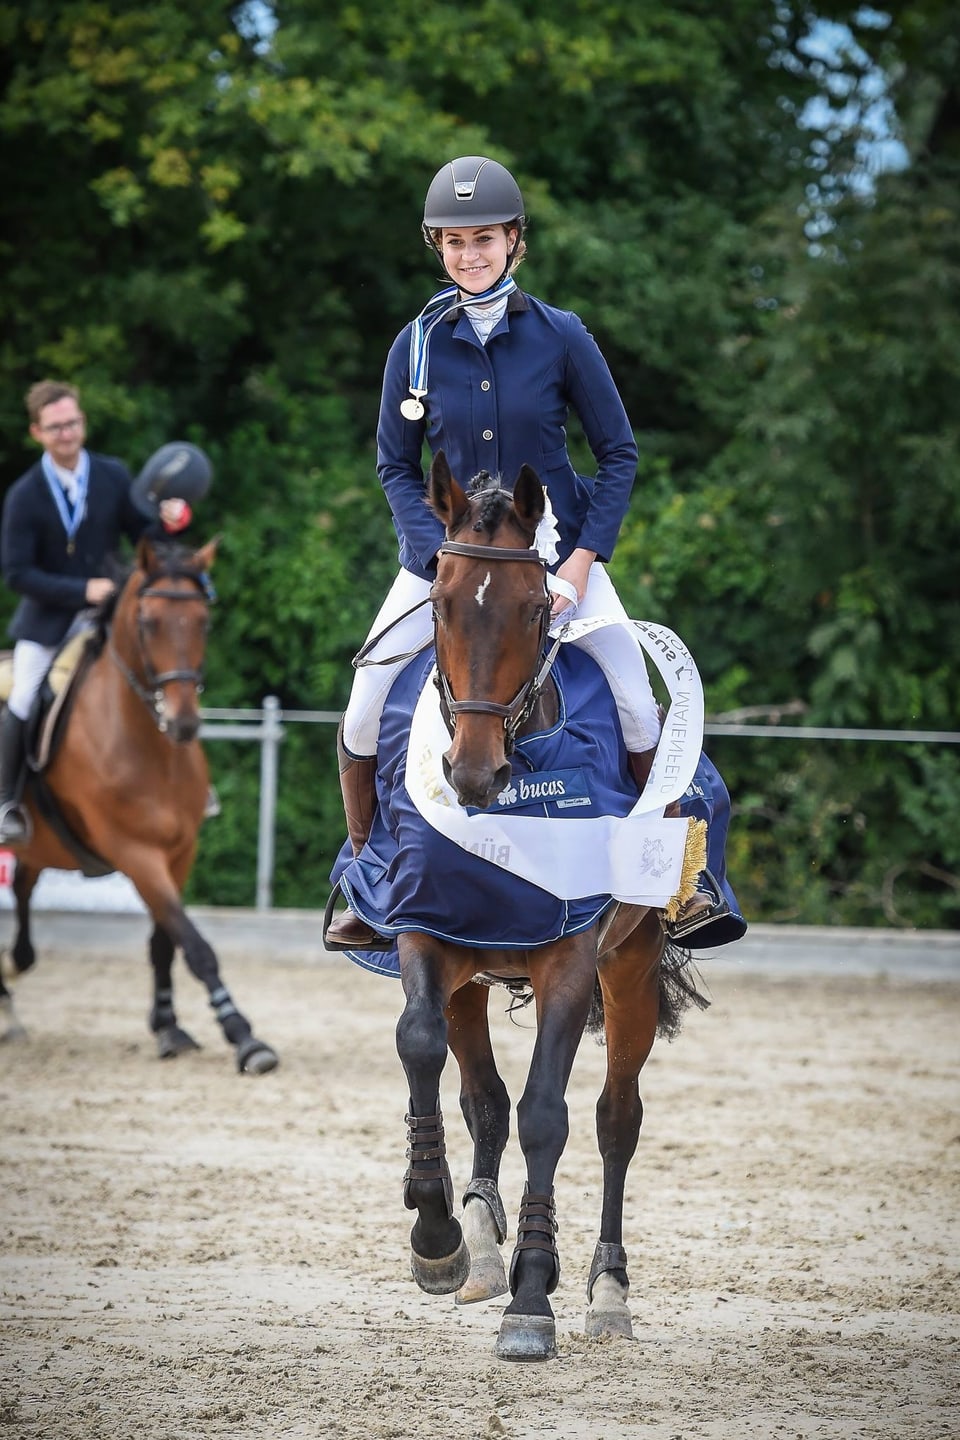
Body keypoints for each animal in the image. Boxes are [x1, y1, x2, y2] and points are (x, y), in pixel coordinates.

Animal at [0, 535, 277, 1077]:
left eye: (203, 622)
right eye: (148, 623)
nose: (185, 723)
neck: (148, 747)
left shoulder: (180, 851)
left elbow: (164, 942)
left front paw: (168, 1026)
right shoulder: (134, 853)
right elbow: (195, 945)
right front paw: (242, 1034)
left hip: (40, 848)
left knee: (21, 893)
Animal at [388, 452, 705, 1359]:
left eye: (536, 609)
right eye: (441, 602)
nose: (472, 773)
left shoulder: (571, 959)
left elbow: (546, 1117)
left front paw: (533, 1299)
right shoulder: (429, 931)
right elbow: (422, 1048)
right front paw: (437, 1237)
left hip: (629, 970)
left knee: (614, 1120)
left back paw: (604, 1289)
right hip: (472, 978)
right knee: (480, 1096)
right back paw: (481, 1244)